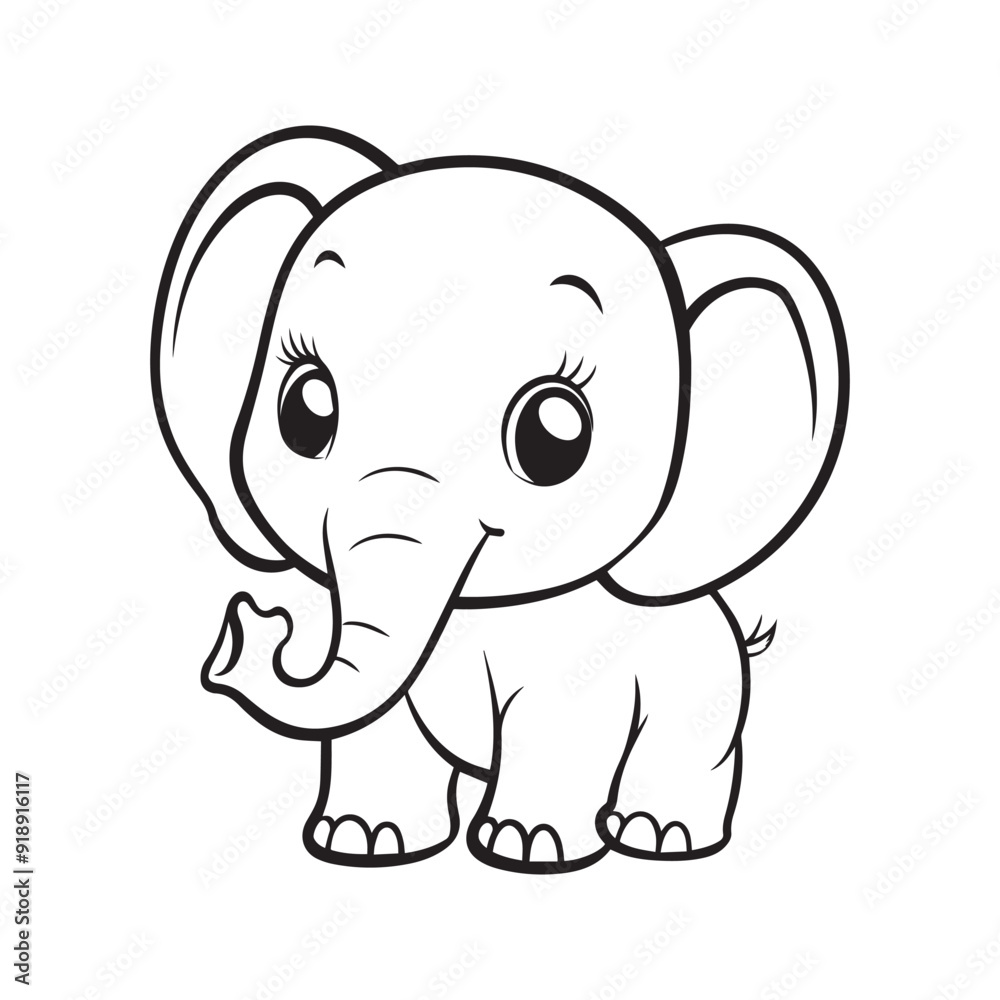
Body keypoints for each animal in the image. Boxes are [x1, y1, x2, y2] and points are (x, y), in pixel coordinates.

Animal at [151, 126, 848, 873]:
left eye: (553, 437)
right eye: (303, 412)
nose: (244, 634)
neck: (474, 609)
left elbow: (554, 729)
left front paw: (529, 847)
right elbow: (379, 726)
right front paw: (363, 839)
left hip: (706, 691)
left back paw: (660, 835)